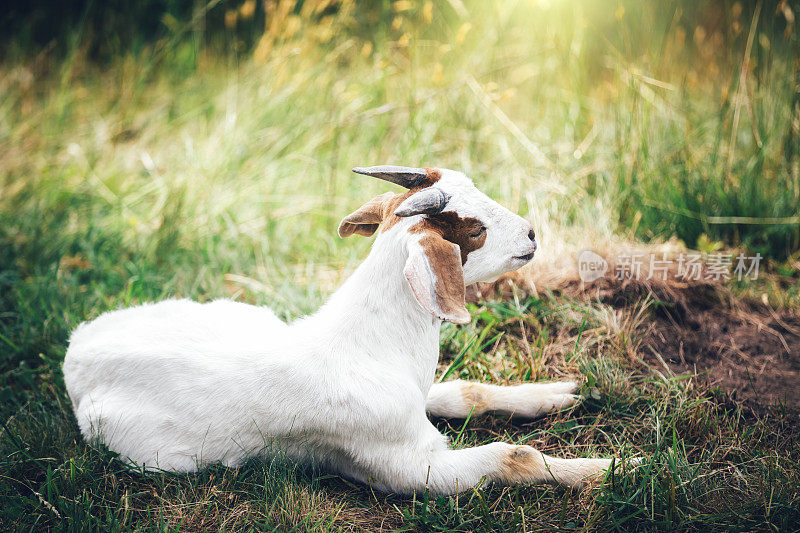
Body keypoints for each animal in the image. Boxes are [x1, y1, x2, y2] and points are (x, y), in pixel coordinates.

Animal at [64, 166, 620, 494]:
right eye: (475, 228)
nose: (531, 233)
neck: (371, 346)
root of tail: (76, 347)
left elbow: (467, 391)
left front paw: (559, 394)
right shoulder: (407, 467)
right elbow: (515, 456)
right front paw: (615, 468)